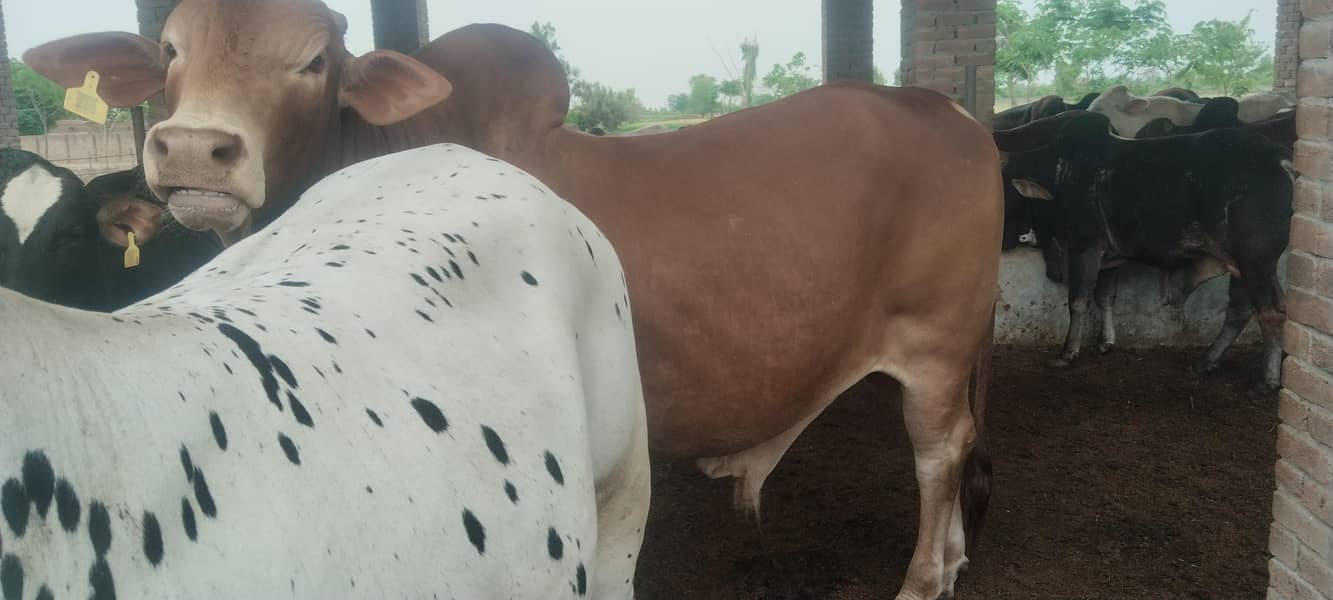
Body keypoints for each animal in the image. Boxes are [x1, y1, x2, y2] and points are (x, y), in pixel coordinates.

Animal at [1007, 113, 1293, 390]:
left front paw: (1067, 354)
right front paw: (1105, 343)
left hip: (1255, 262)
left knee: (1270, 312)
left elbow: (1078, 301)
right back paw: (1206, 361)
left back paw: (1267, 380)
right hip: (1243, 266)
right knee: (1242, 310)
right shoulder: (1110, 258)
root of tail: (1282, 161)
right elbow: (1105, 297)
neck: (1059, 175)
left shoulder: (1083, 247)